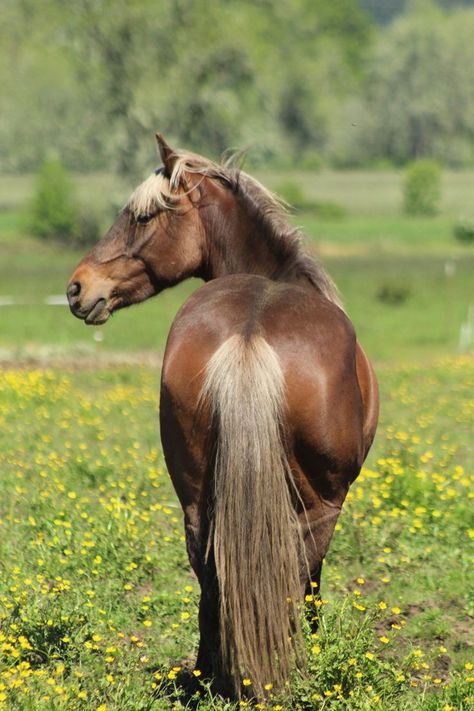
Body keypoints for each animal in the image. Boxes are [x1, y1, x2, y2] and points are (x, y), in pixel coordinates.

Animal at [67, 135, 378, 700]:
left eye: (142, 216)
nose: (78, 288)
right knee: (298, 574)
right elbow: (312, 583)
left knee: (210, 573)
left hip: (195, 495)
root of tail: (250, 331)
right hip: (321, 505)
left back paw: (212, 674)